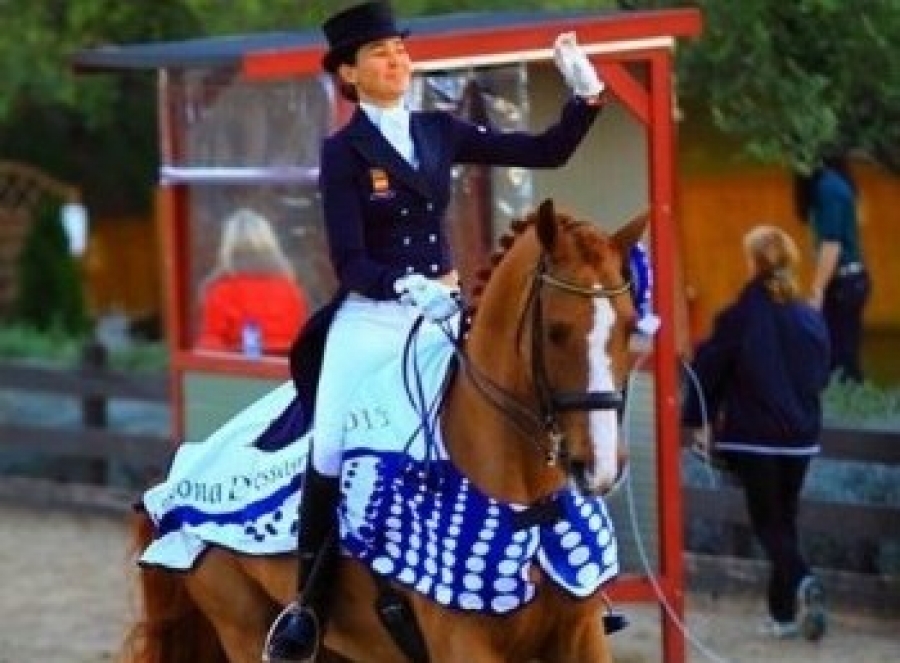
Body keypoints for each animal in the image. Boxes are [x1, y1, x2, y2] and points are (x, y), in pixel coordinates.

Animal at [123, 200, 648, 660]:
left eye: (630, 327)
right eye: (556, 331)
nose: (600, 466)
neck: (528, 502)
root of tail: (174, 478)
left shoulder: (581, 635)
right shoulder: (463, 645)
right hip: (244, 629)